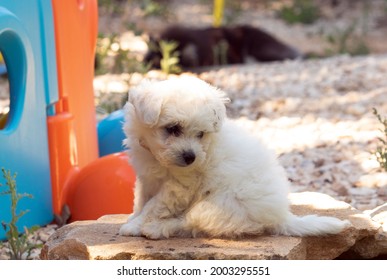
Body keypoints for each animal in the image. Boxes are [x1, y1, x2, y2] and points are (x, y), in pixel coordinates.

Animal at [119, 76, 352, 238]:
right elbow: (141, 200)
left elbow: (153, 207)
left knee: (190, 222)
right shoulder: (146, 176)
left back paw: (156, 228)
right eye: (173, 128)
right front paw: (133, 217)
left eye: (200, 134)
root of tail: (282, 216)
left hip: (220, 204)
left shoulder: (179, 186)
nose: (190, 157)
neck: (157, 158)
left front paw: (134, 226)